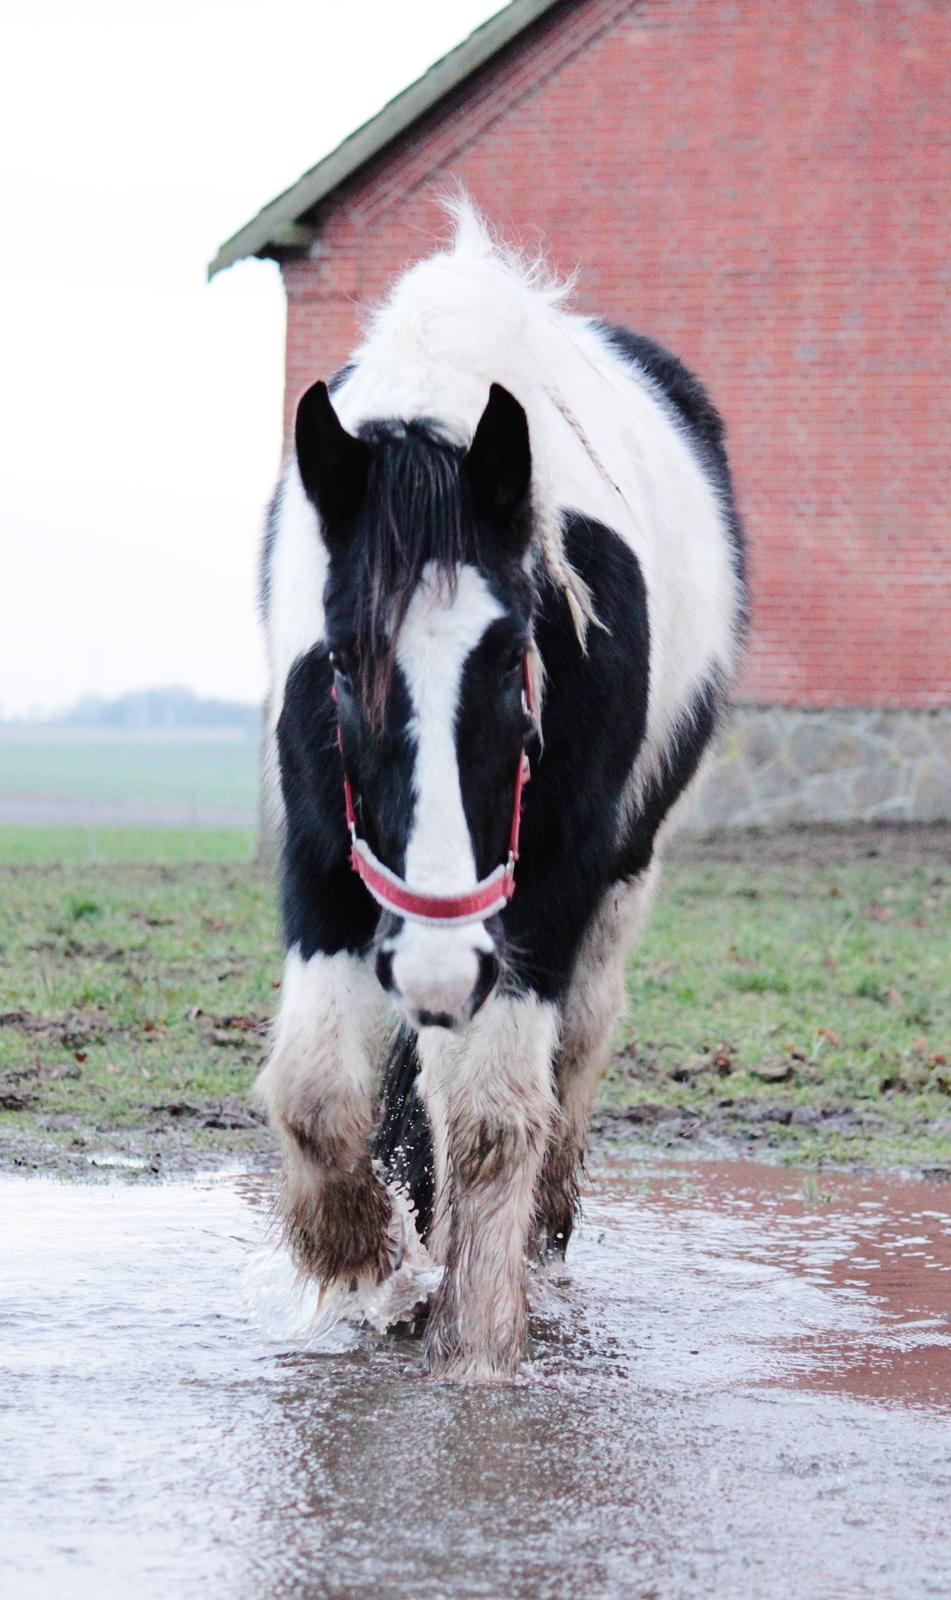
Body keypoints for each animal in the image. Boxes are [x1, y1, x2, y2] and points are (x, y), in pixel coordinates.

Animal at [256, 200, 742, 1376]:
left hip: (614, 884)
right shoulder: (321, 854)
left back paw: (541, 1253)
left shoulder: (547, 886)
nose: (437, 964)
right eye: (338, 666)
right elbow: (320, 1093)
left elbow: (492, 1119)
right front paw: (367, 1268)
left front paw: (476, 1351)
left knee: (571, 1058)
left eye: (516, 657)